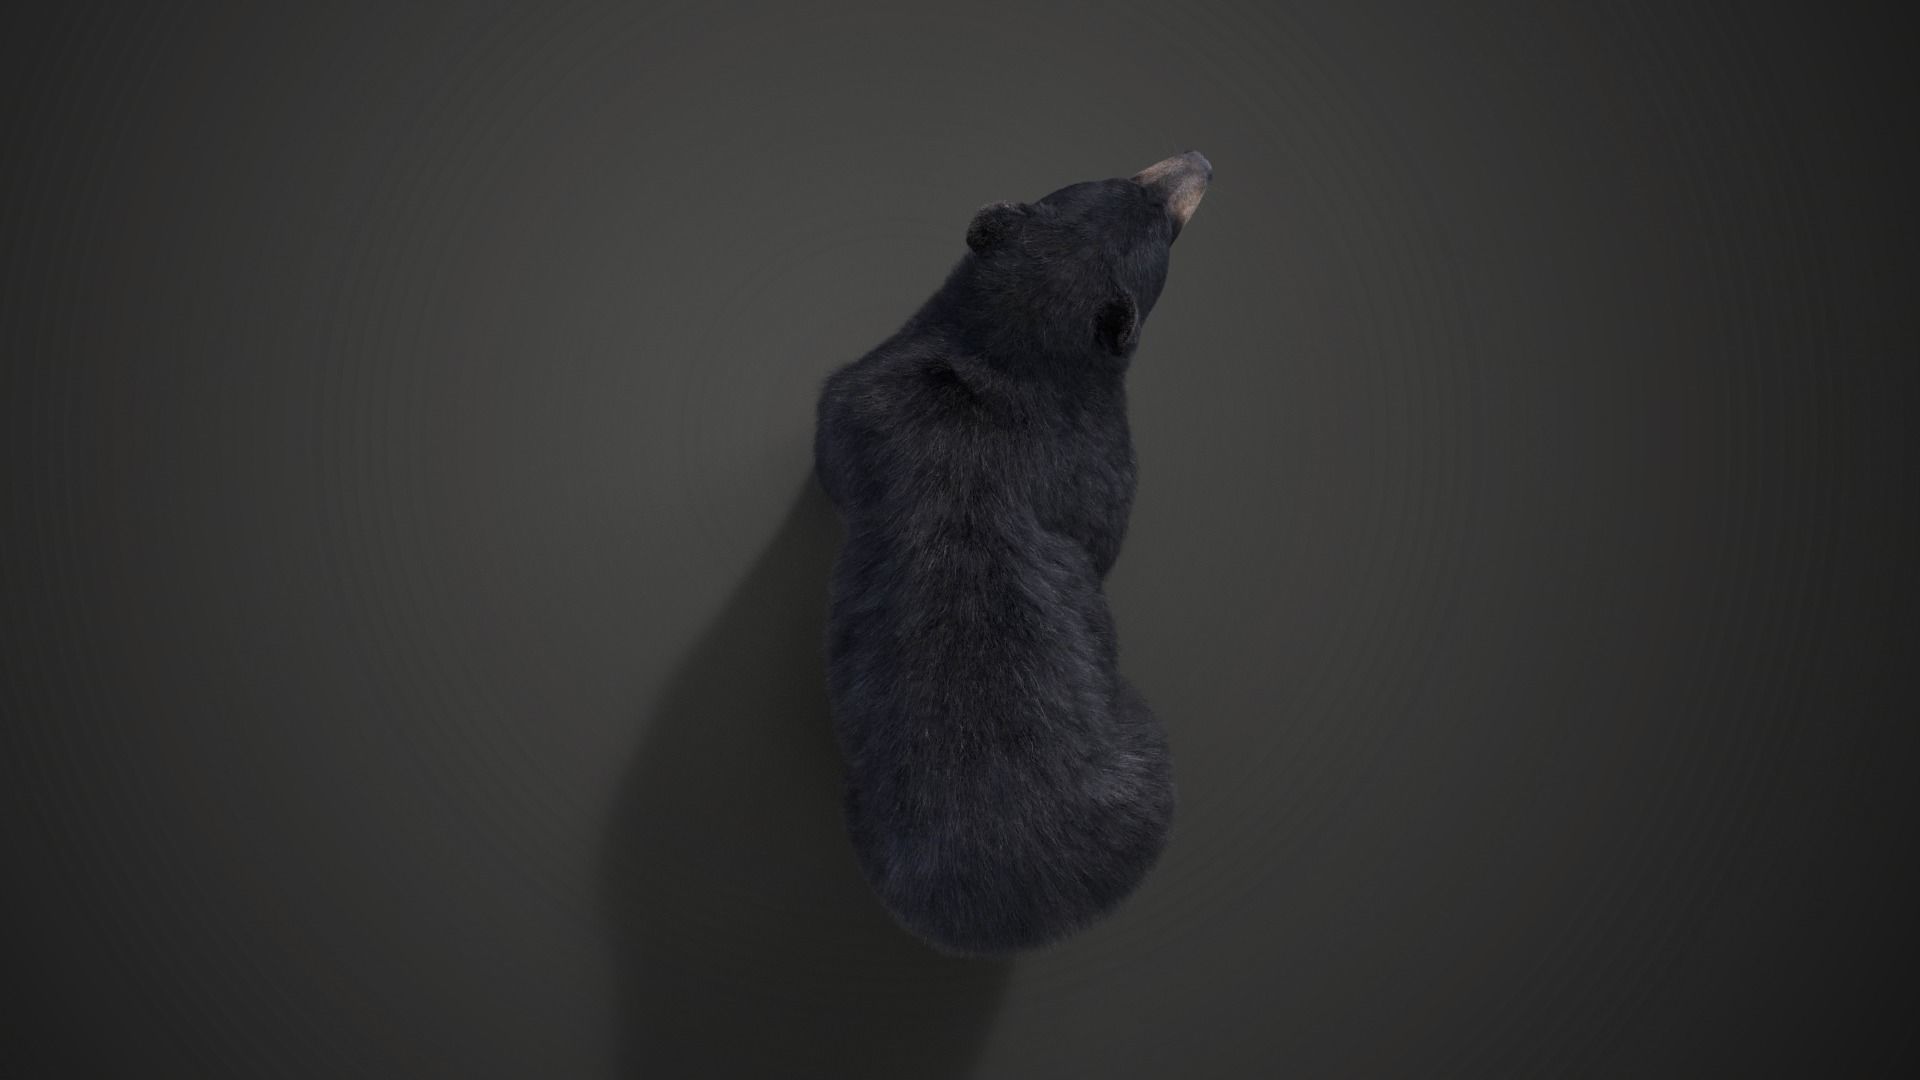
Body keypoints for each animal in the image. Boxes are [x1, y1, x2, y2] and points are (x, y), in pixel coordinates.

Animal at [812, 151, 1212, 956]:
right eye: (1143, 199)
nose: (1200, 164)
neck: (1005, 359)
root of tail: (1028, 907)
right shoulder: (1104, 460)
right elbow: (1104, 524)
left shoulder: (867, 390)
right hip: (1145, 751)